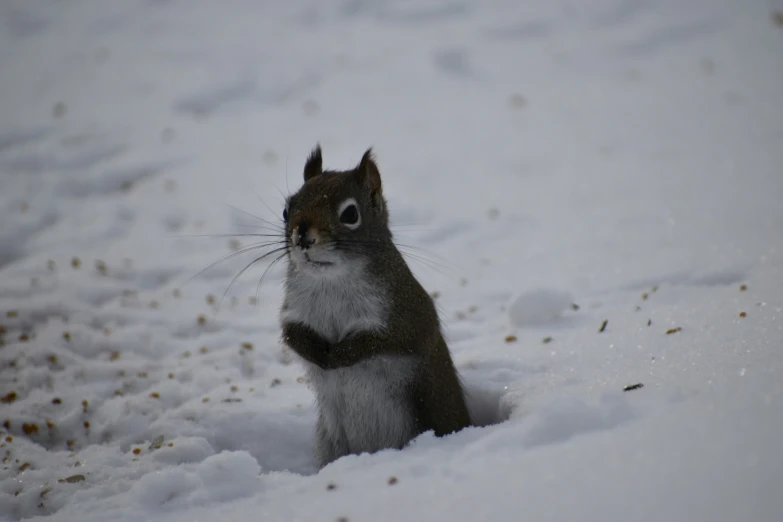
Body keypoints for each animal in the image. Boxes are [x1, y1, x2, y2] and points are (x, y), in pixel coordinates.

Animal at [278, 144, 468, 466]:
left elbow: (385, 341)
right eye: (286, 210)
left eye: (350, 213)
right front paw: (317, 353)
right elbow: (291, 335)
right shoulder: (293, 310)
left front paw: (340, 355)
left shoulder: (407, 313)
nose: (301, 236)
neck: (332, 281)